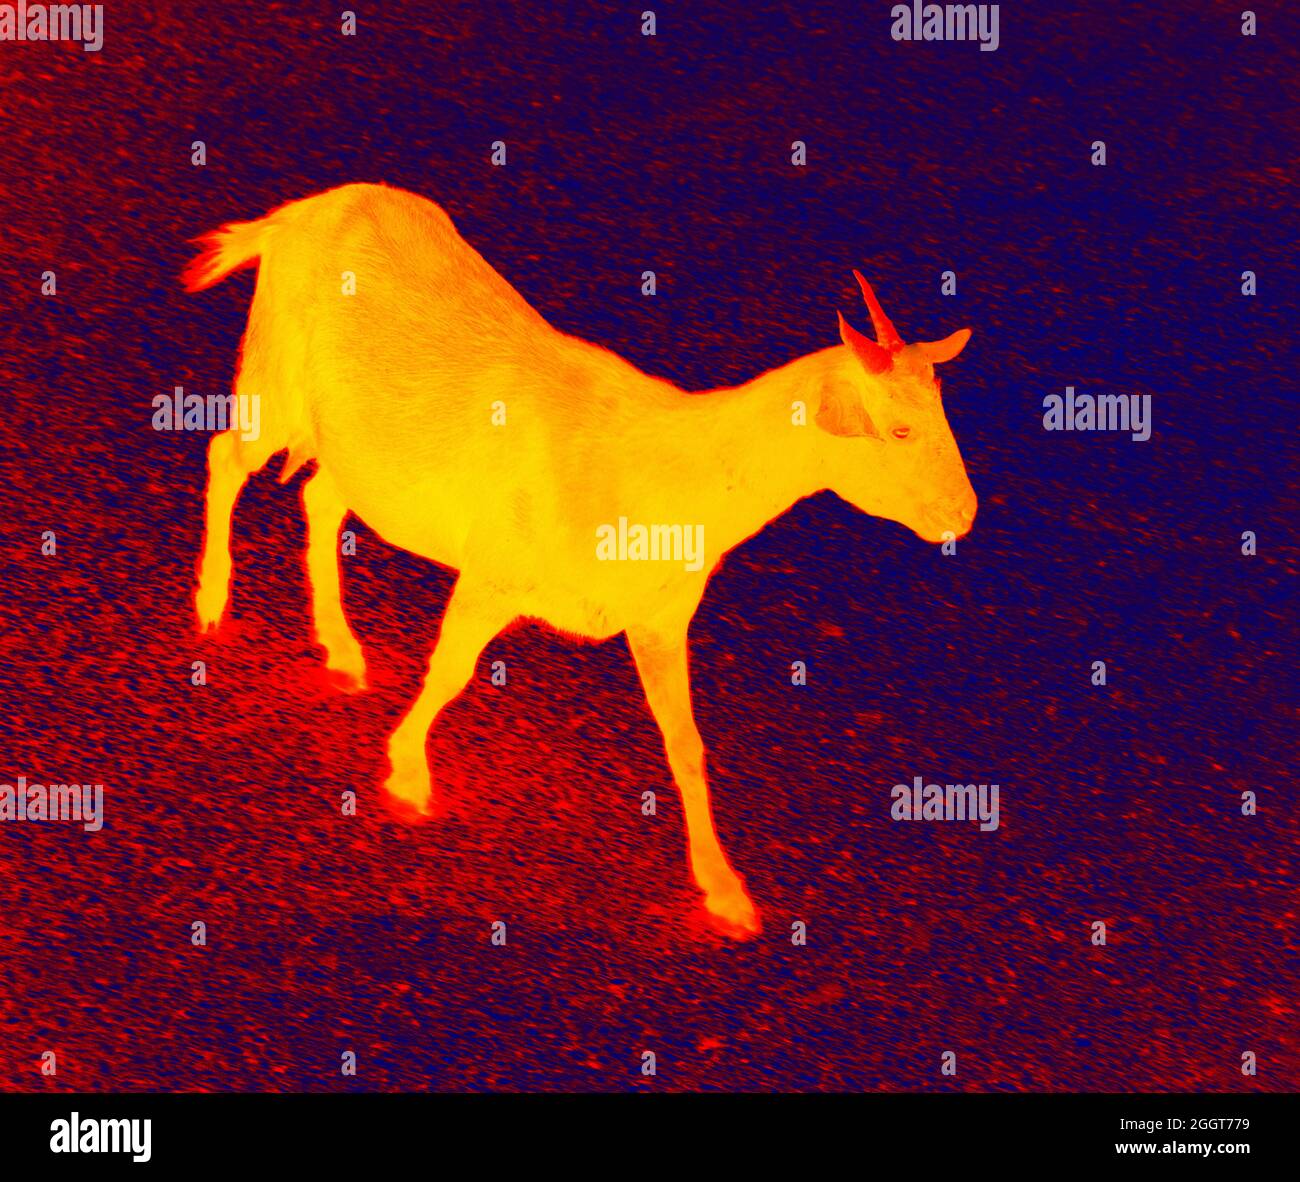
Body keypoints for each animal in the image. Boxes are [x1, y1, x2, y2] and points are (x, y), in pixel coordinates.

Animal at [184, 182, 976, 937]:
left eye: (941, 411)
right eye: (900, 430)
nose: (964, 514)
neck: (666, 468)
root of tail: (299, 214)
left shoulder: (658, 620)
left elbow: (687, 744)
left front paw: (725, 891)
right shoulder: (495, 573)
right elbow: (451, 669)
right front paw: (407, 775)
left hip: (349, 440)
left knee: (321, 498)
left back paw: (343, 652)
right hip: (275, 377)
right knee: (228, 456)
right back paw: (212, 604)